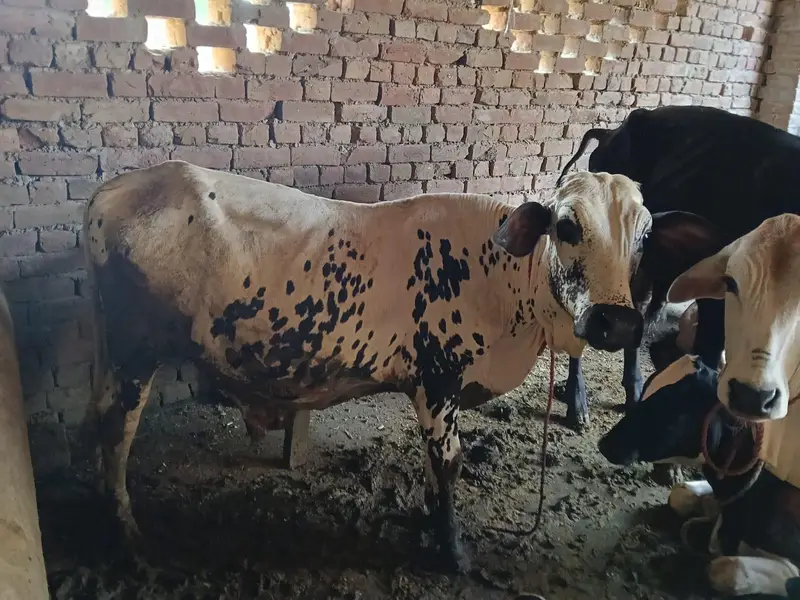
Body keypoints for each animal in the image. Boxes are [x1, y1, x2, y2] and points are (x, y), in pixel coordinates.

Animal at [80, 161, 707, 573]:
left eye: (645, 235)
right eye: (568, 226)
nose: (615, 323)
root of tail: (117, 188)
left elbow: (434, 468)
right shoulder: (438, 380)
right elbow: (449, 463)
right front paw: (453, 551)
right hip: (134, 352)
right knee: (116, 431)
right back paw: (129, 538)